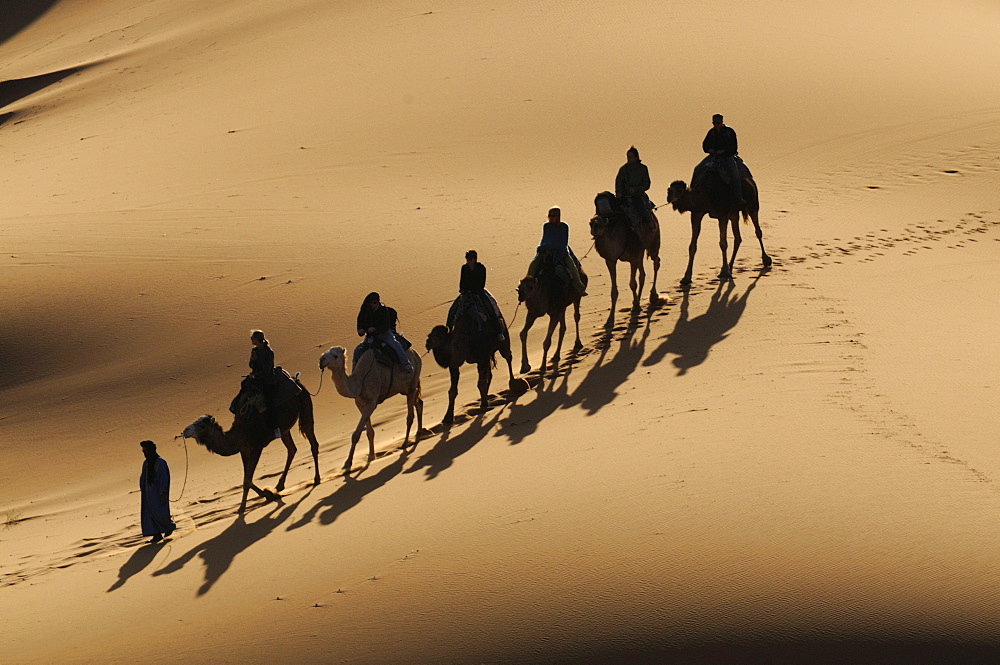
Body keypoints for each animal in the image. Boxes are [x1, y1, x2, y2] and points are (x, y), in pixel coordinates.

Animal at [181, 378, 320, 512]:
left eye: (202, 425)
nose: (185, 430)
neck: (242, 431)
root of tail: (298, 383)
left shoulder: (256, 448)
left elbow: (247, 480)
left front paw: (241, 508)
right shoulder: (244, 450)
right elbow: (247, 478)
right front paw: (268, 494)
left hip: (305, 406)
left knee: (313, 443)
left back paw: (316, 479)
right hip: (284, 429)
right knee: (292, 449)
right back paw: (279, 486)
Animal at [588, 189, 660, 320]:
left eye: (606, 217)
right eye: (596, 209)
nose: (594, 224)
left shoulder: (633, 257)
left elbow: (632, 284)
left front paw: (636, 306)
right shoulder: (610, 259)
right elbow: (614, 291)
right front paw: (610, 319)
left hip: (653, 243)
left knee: (656, 262)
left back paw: (653, 296)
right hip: (640, 252)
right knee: (642, 274)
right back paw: (637, 301)